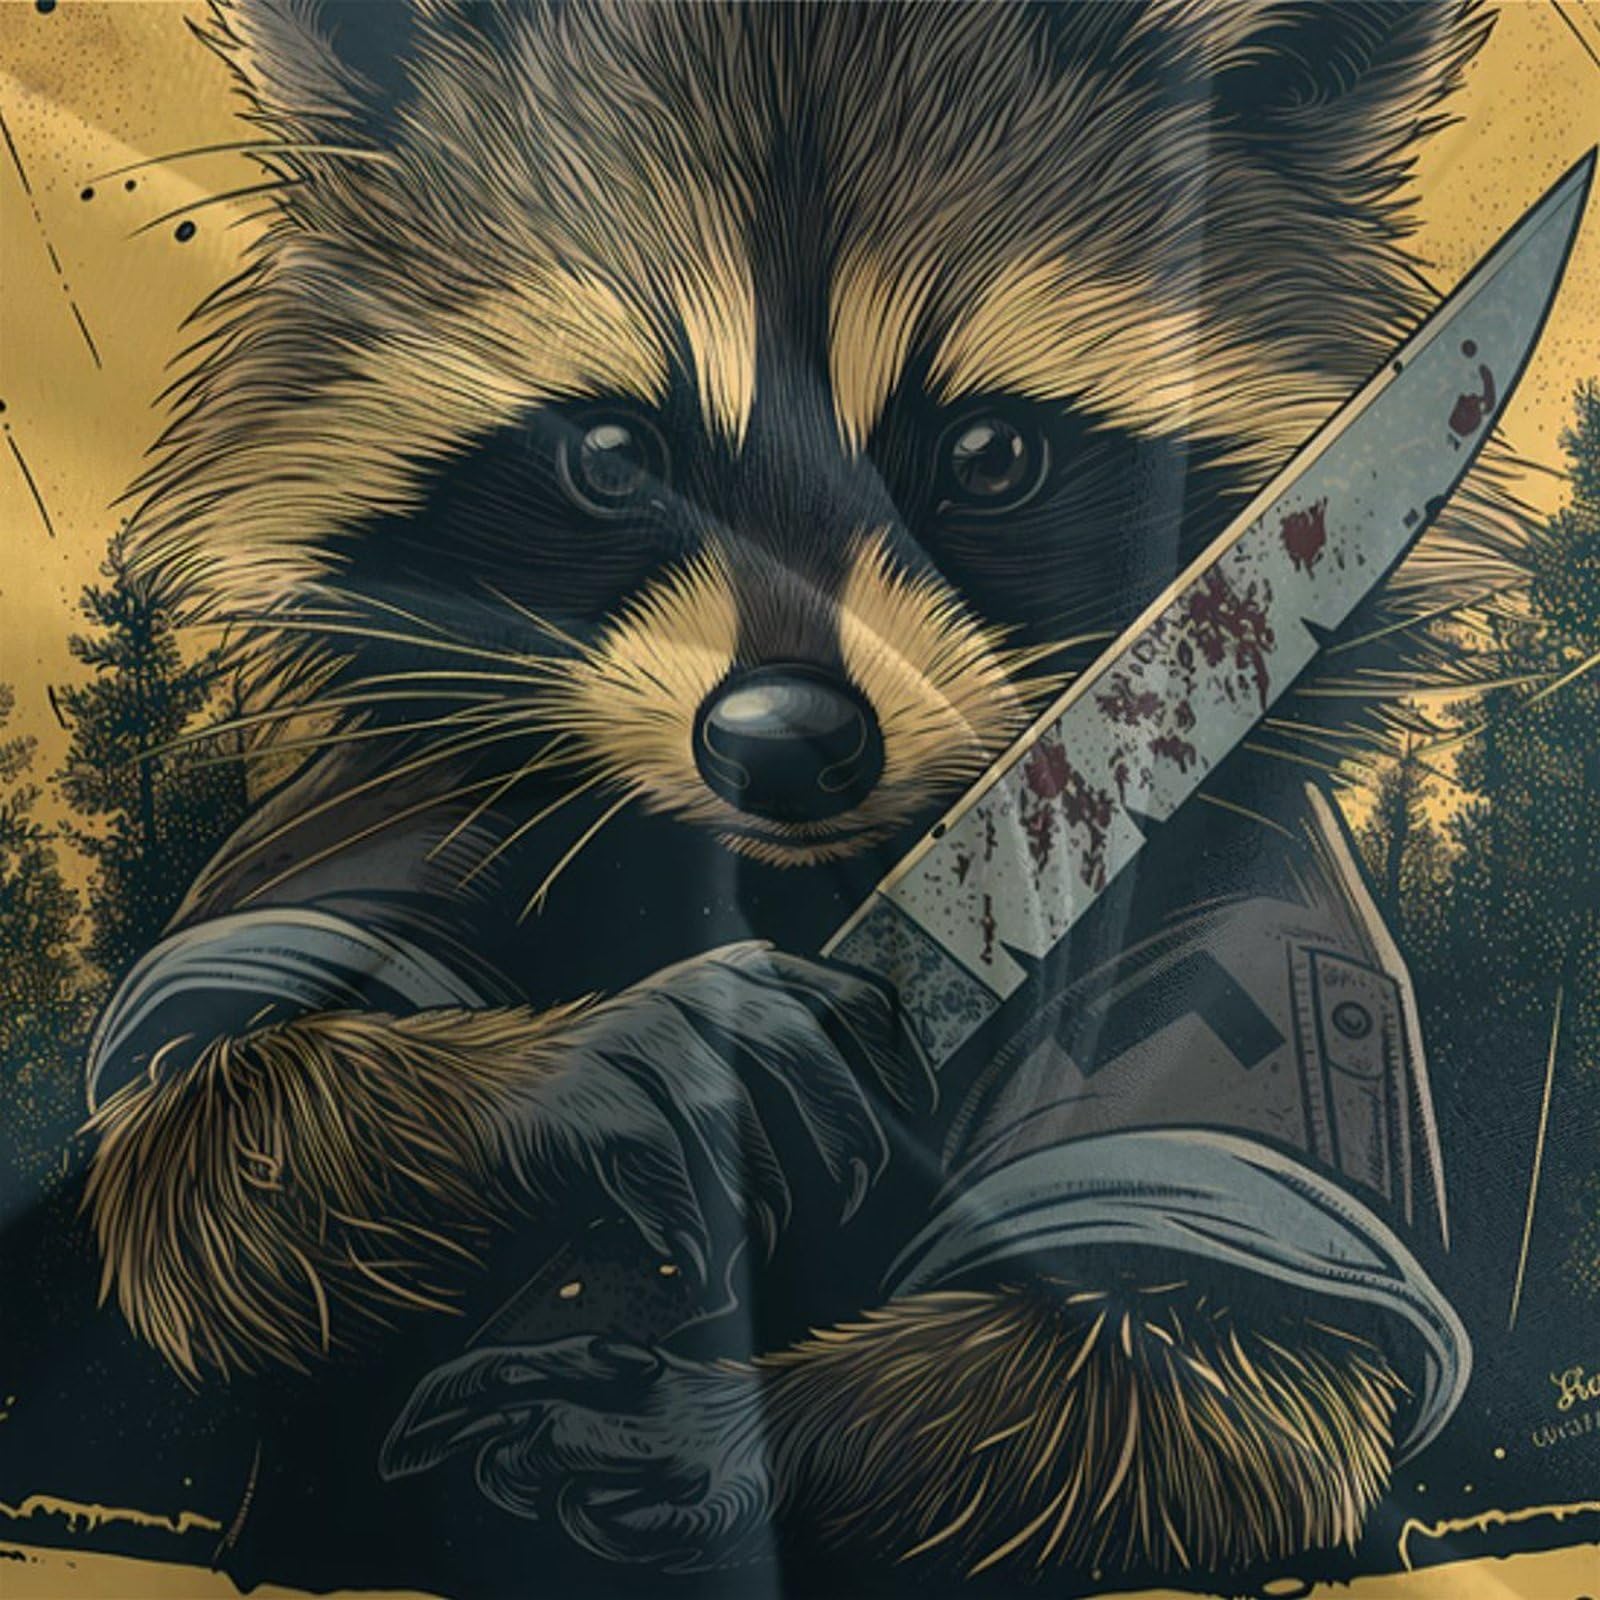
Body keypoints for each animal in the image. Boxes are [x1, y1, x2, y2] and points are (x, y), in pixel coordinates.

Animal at [84, 1, 1507, 1591]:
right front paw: (604, 1060)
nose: (781, 739)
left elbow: (1223, 1374)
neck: (804, 869)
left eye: (991, 453)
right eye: (613, 453)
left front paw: (715, 1427)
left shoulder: (1241, 913)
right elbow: (200, 1147)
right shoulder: (398, 800)